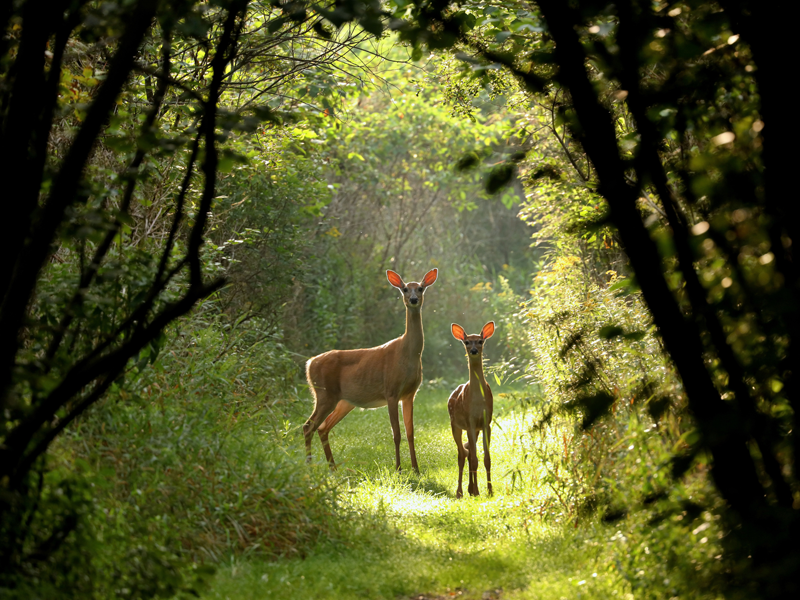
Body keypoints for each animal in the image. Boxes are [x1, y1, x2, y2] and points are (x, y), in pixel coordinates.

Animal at [302, 268, 438, 474]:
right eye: (405, 289)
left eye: (421, 288)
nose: (414, 299)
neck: (407, 354)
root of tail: (309, 363)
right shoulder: (391, 391)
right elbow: (396, 434)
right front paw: (398, 468)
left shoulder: (409, 394)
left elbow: (410, 432)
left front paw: (416, 469)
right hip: (324, 394)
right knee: (308, 426)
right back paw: (310, 467)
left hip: (344, 401)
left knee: (322, 427)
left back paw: (333, 468)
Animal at [446, 322, 496, 500]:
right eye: (467, 342)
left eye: (480, 341)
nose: (473, 350)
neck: (477, 401)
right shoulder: (470, 421)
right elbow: (474, 458)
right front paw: (478, 490)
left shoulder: (486, 422)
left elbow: (486, 458)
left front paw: (490, 490)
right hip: (455, 425)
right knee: (462, 454)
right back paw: (461, 492)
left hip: (475, 429)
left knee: (468, 453)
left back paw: (470, 489)